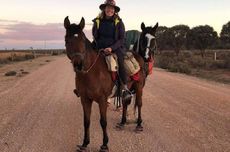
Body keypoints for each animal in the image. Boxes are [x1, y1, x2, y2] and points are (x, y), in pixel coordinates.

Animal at [63, 16, 146, 152]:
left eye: (82, 39)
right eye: (67, 40)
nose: (78, 64)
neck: (91, 73)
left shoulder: (102, 100)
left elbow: (103, 121)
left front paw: (105, 144)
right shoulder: (85, 99)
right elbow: (86, 121)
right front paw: (85, 143)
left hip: (139, 87)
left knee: (139, 104)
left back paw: (139, 125)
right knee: (125, 103)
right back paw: (122, 123)